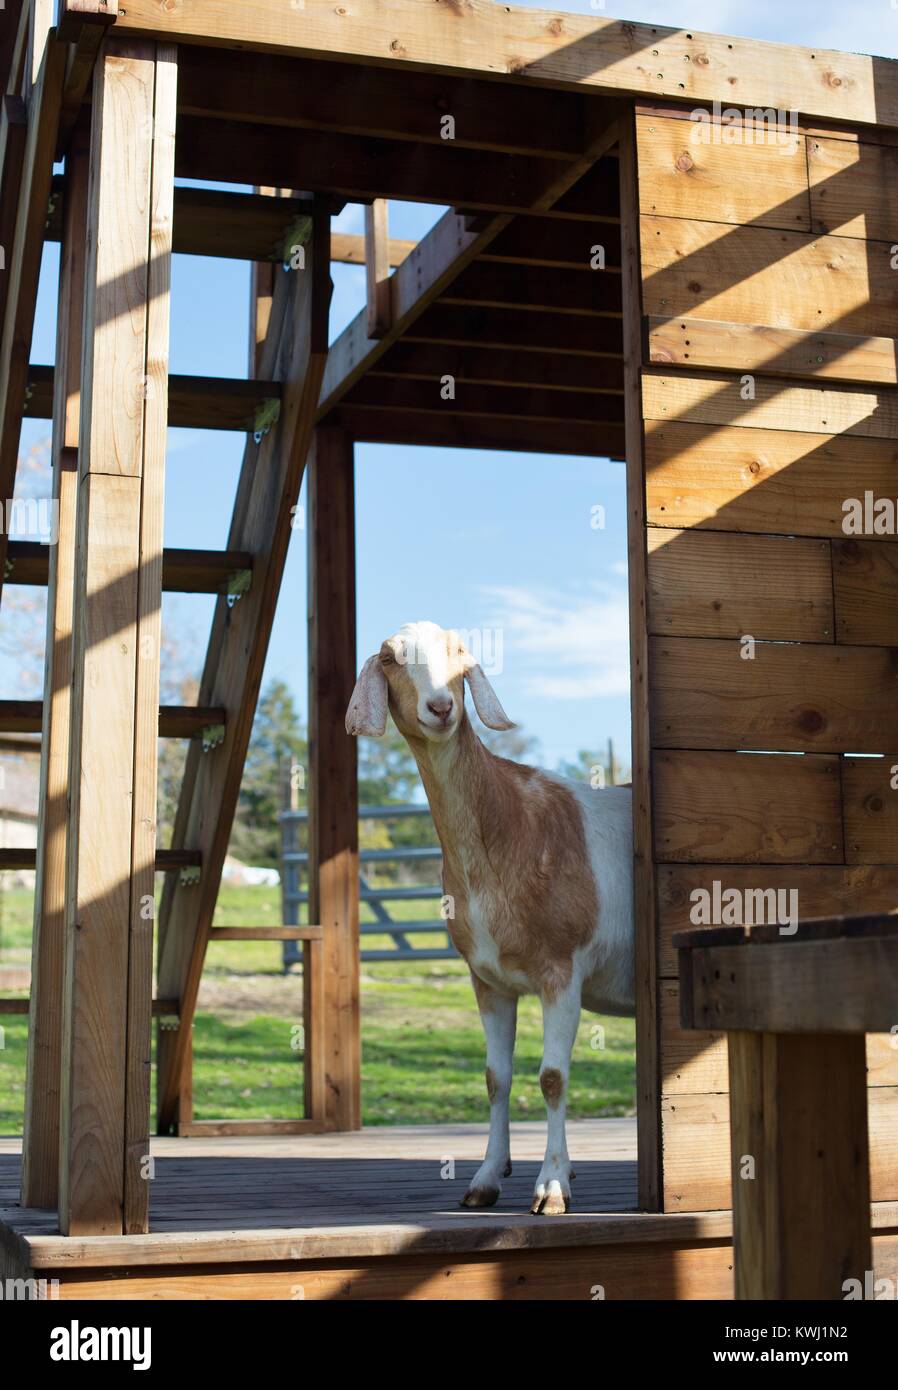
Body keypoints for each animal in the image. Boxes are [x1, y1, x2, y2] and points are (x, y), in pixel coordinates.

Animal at [346, 621, 634, 1215]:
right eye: (388, 659)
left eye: (460, 654)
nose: (440, 707)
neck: (509, 825)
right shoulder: (487, 979)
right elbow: (495, 1078)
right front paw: (484, 1179)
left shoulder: (561, 971)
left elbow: (552, 1078)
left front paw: (552, 1186)